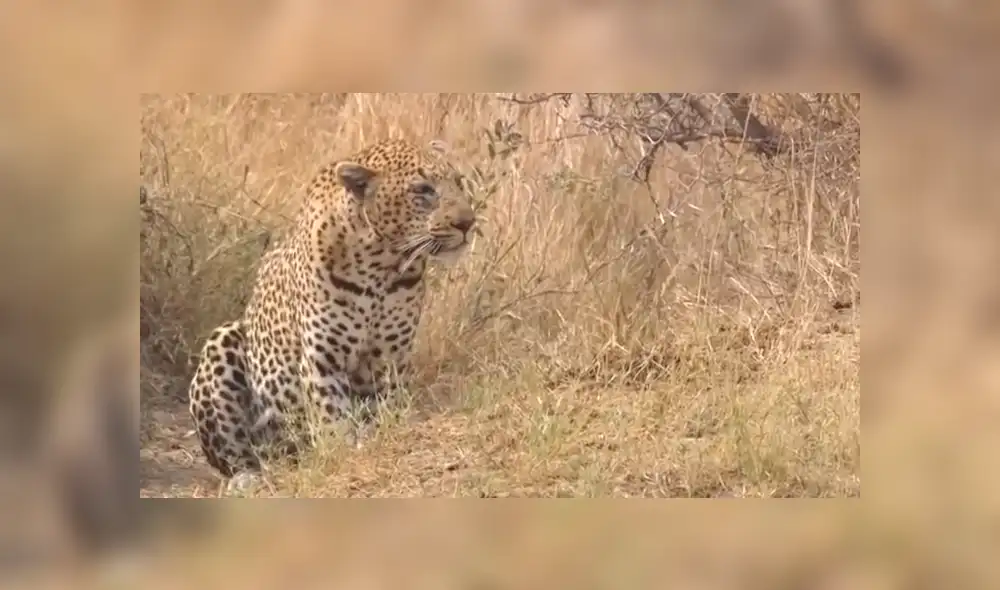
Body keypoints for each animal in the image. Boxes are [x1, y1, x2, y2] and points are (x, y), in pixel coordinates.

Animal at [187, 139, 477, 491]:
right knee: (237, 454)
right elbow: (332, 417)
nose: (468, 223)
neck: (382, 264)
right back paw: (248, 477)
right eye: (423, 189)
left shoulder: (390, 360)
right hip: (223, 343)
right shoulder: (322, 359)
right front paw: (343, 452)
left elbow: (388, 406)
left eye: (459, 183)